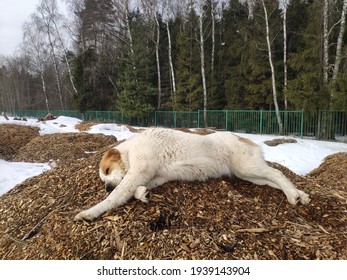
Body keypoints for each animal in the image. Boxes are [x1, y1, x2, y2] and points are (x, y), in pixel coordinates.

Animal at [75, 127, 312, 221]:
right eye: (103, 178)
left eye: (107, 171)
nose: (106, 187)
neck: (130, 150)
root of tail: (244, 138)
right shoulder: (155, 176)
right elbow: (138, 189)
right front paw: (143, 194)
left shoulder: (138, 171)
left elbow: (116, 196)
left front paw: (90, 212)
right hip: (251, 175)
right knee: (274, 179)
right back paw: (299, 194)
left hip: (248, 167)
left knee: (278, 173)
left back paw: (293, 195)